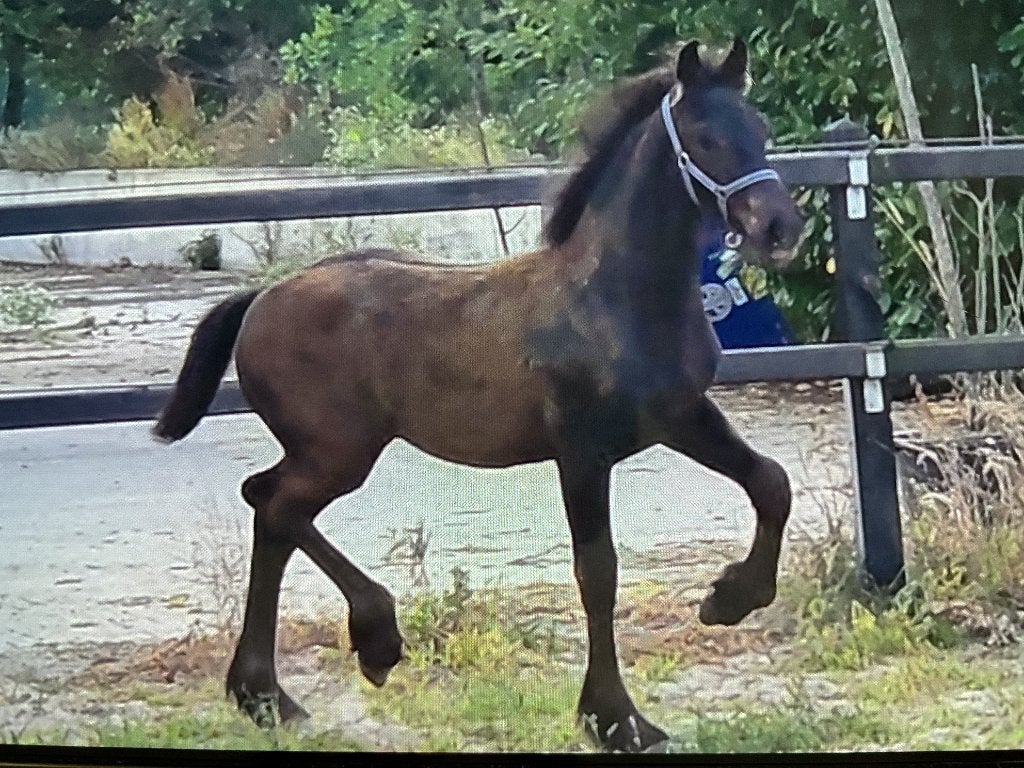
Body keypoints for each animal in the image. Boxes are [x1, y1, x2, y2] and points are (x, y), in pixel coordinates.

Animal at [154, 39, 804, 753]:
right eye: (707, 137)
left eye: (762, 131)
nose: (781, 227)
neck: (616, 298)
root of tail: (261, 298)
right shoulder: (581, 452)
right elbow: (597, 573)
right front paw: (617, 720)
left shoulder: (680, 416)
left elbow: (771, 482)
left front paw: (729, 598)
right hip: (338, 452)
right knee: (274, 506)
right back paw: (366, 643)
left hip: (325, 452)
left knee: (267, 504)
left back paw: (272, 696)